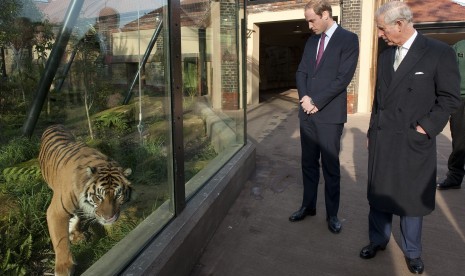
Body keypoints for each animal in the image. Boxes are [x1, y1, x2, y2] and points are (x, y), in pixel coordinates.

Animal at [37, 125, 132, 276]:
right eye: (98, 197)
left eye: (118, 195)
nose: (109, 218)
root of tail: (53, 125)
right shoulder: (56, 212)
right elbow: (60, 239)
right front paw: (63, 268)